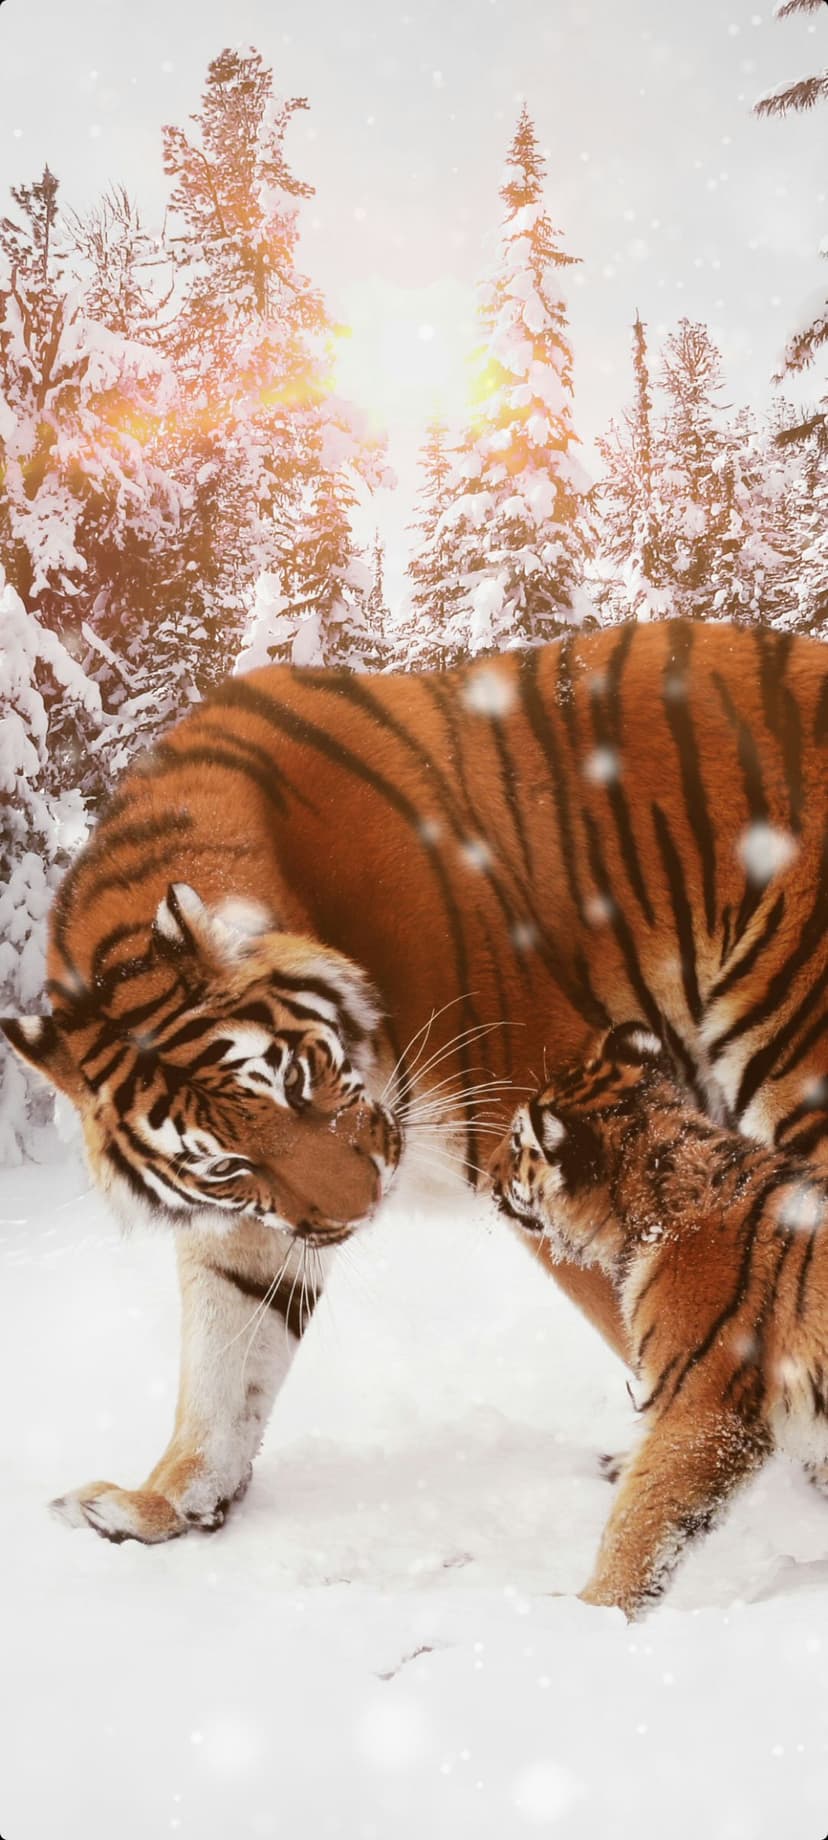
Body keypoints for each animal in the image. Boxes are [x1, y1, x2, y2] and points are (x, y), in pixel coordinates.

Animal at [3, 618, 828, 1547]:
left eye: (297, 1080)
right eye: (226, 1165)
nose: (361, 1210)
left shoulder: (550, 1122)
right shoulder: (254, 1221)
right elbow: (224, 1355)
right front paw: (163, 1503)